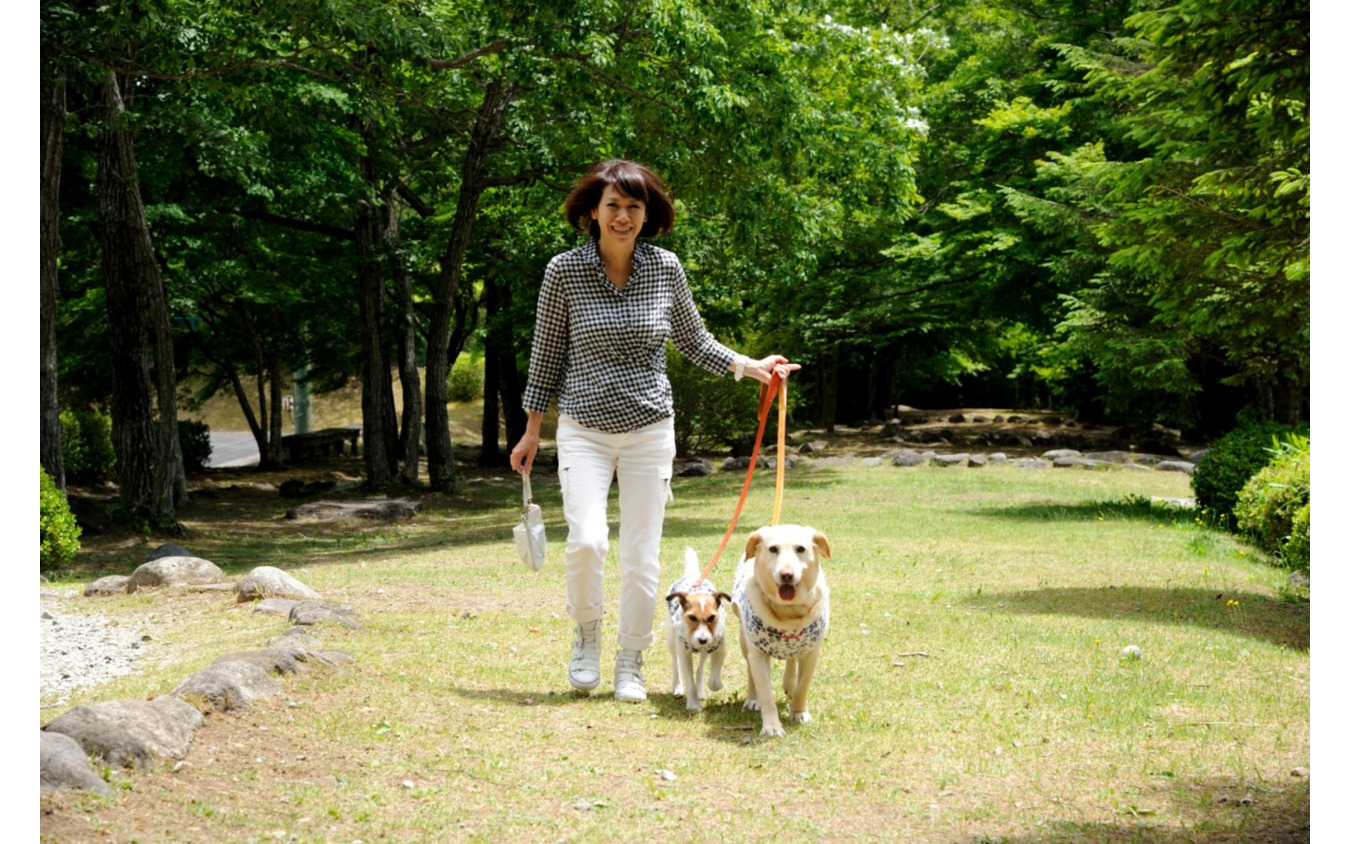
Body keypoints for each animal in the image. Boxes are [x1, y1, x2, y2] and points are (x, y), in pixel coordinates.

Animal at [661, 545, 729, 713]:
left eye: (712, 617)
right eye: (691, 617)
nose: (702, 640)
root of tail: (692, 575)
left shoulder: (719, 648)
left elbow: (713, 678)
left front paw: (712, 686)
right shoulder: (684, 654)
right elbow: (689, 680)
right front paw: (693, 703)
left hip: (705, 651)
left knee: (700, 669)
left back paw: (700, 690)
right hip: (672, 641)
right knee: (674, 662)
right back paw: (677, 686)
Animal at [734, 523, 826, 734]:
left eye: (800, 549)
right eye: (773, 549)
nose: (786, 575)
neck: (788, 611)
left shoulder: (811, 653)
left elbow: (803, 686)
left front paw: (799, 713)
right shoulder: (758, 654)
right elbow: (765, 692)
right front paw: (772, 727)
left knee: (792, 660)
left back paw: (789, 684)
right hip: (744, 640)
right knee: (751, 671)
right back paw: (753, 699)